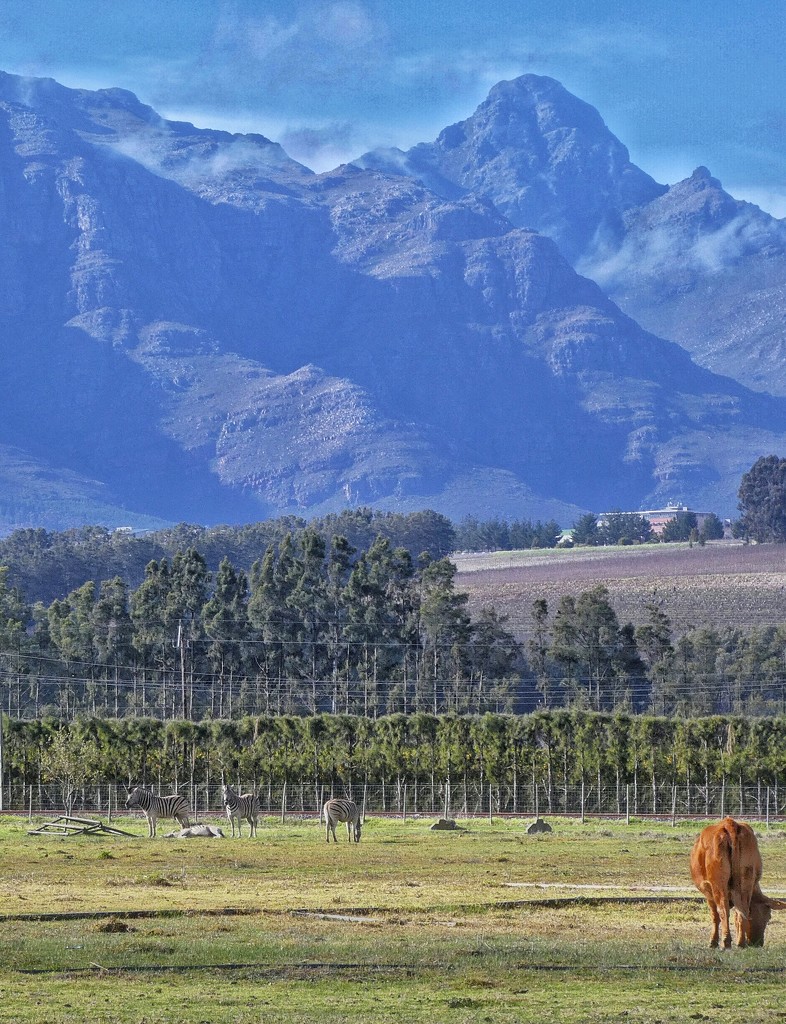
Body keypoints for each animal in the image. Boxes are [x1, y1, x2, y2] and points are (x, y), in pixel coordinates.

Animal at [691, 815, 781, 950]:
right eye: (768, 917)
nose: (758, 943)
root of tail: (730, 824)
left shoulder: (708, 893)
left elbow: (715, 916)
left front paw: (713, 942)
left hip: (719, 885)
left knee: (723, 910)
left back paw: (726, 942)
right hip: (746, 880)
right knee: (742, 911)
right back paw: (740, 943)